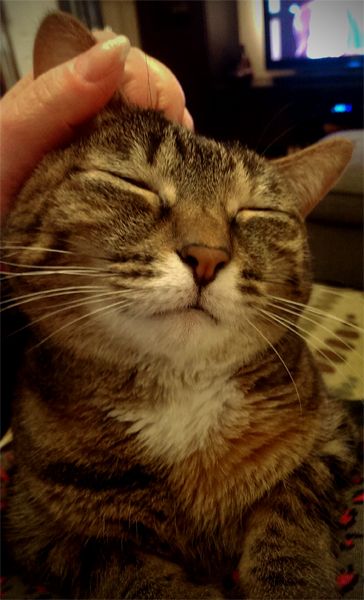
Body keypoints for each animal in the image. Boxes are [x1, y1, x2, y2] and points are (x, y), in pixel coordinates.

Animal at [2, 10, 358, 600]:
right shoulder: (39, 529)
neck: (179, 396)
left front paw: (292, 579)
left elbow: (291, 518)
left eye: (256, 213)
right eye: (132, 183)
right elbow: (128, 570)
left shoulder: (331, 440)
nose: (207, 256)